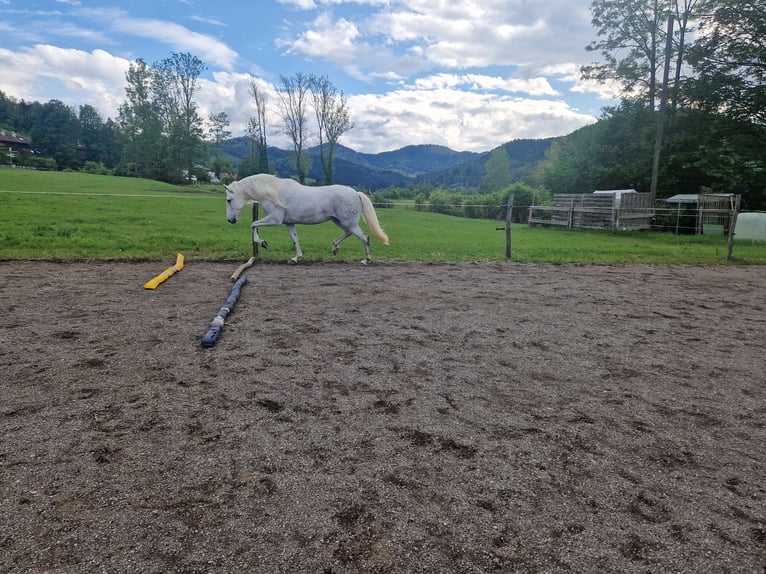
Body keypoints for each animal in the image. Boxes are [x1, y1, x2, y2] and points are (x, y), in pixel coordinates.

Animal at [222, 176, 390, 266]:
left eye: (229, 200)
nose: (230, 220)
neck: (272, 192)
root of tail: (356, 193)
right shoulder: (288, 223)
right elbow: (295, 239)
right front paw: (296, 258)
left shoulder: (275, 219)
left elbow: (253, 224)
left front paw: (263, 243)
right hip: (340, 221)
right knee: (349, 233)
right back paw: (335, 247)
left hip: (348, 222)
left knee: (364, 237)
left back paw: (366, 260)